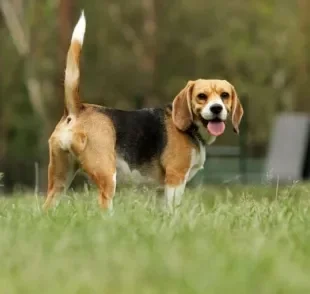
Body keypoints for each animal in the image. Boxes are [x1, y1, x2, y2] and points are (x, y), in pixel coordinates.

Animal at [42, 11, 243, 211]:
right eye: (201, 96)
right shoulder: (175, 179)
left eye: (225, 95)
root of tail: (78, 109)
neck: (191, 130)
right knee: (104, 205)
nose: (216, 108)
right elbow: (173, 210)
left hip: (59, 180)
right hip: (107, 175)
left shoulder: (161, 189)